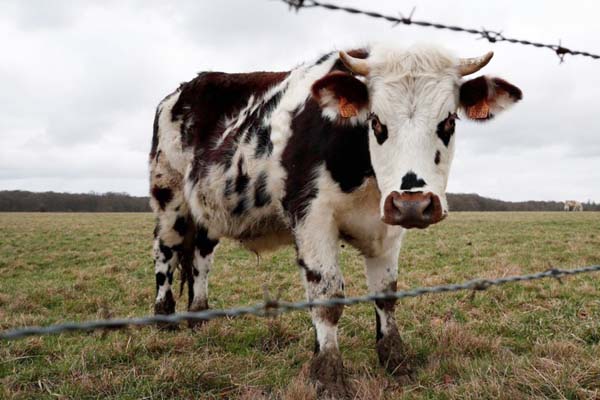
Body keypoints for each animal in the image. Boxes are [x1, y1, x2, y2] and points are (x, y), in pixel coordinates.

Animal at [149, 43, 520, 396]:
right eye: (376, 121)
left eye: (448, 122)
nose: (413, 204)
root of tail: (181, 91)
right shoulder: (311, 218)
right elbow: (327, 298)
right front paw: (327, 374)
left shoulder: (387, 227)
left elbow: (385, 294)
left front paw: (395, 360)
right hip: (169, 197)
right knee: (165, 252)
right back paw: (164, 316)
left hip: (207, 212)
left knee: (201, 260)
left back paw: (199, 317)